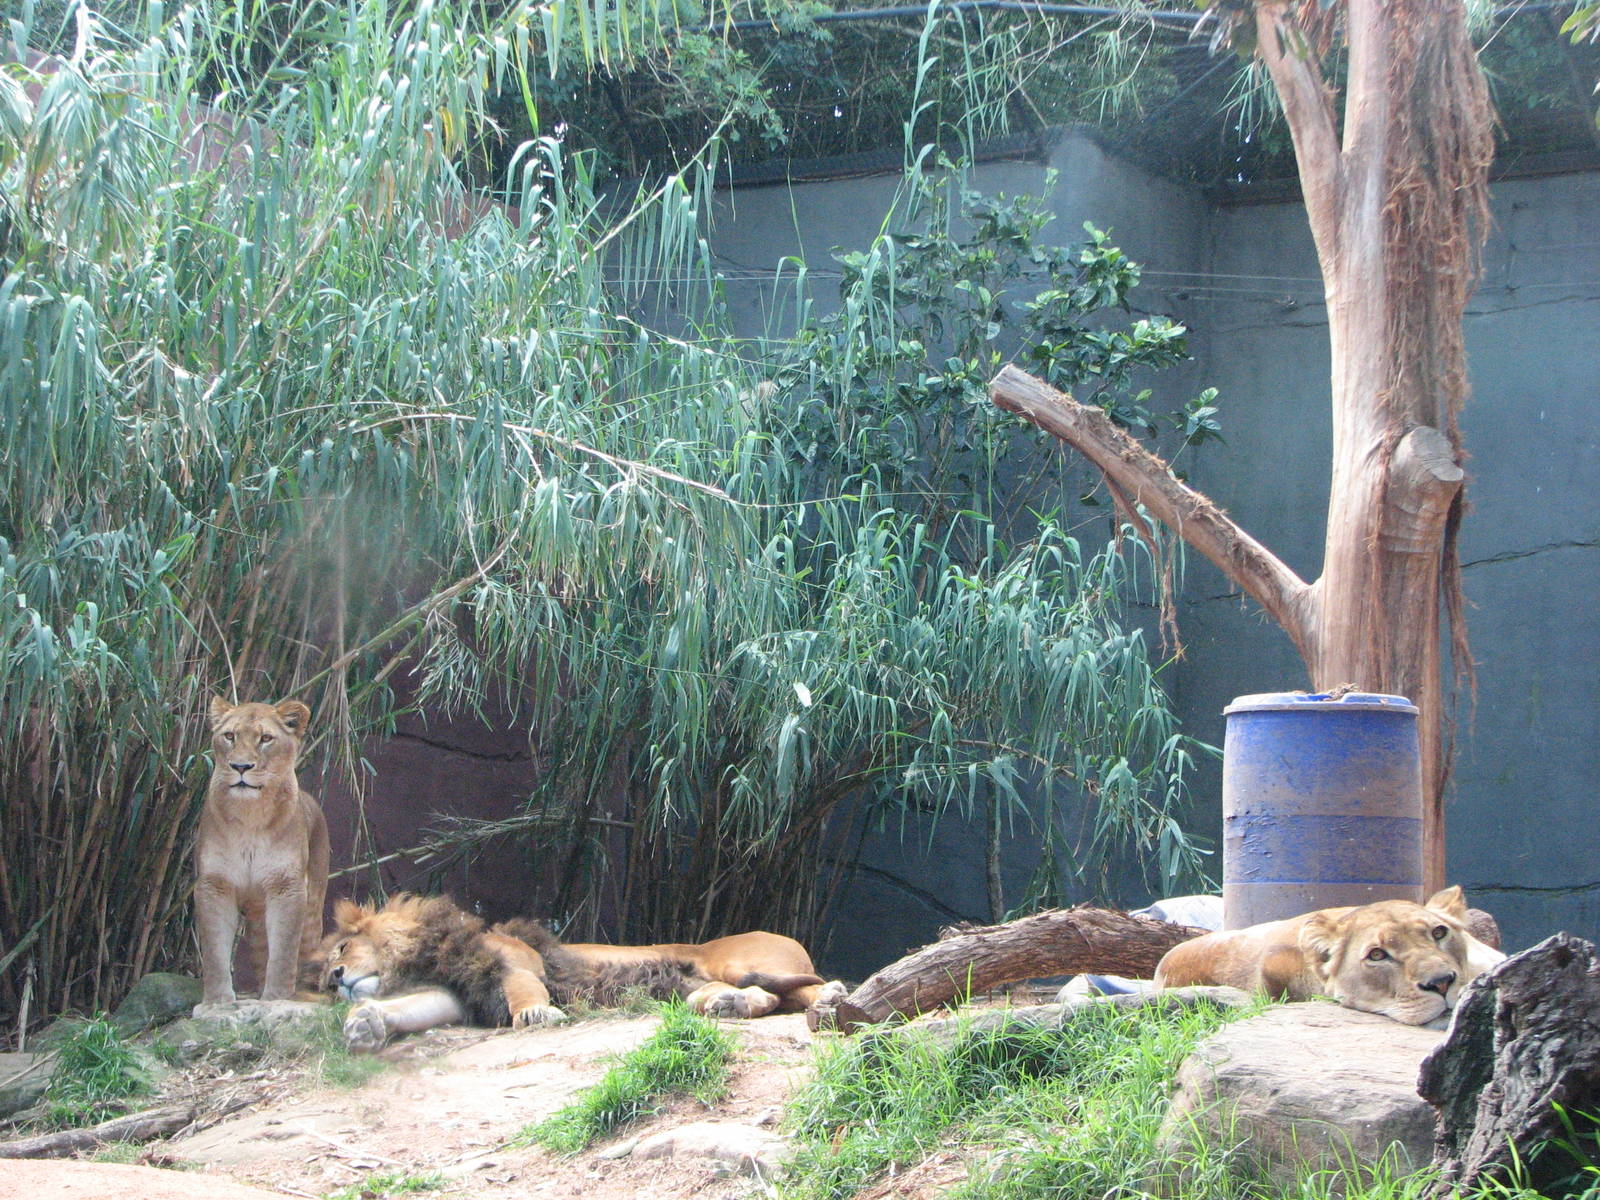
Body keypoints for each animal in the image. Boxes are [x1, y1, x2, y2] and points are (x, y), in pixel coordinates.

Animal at [195, 697, 330, 1008]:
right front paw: (217, 1001)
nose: (240, 766)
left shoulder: (287, 886)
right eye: (229, 736)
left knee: (306, 954)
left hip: (313, 909)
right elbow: (214, 948)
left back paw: (304, 995)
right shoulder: (214, 884)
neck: (250, 815)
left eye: (266, 738)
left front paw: (277, 997)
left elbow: (284, 950)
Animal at [320, 894, 846, 1051]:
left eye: (341, 948)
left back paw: (831, 998)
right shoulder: (457, 995)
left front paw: (534, 1015)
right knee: (770, 999)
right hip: (700, 985)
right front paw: (366, 1024)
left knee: (812, 986)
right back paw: (728, 1005)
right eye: (323, 975)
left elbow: (523, 989)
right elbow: (413, 1008)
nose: (335, 978)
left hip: (739, 961)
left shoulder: (516, 961)